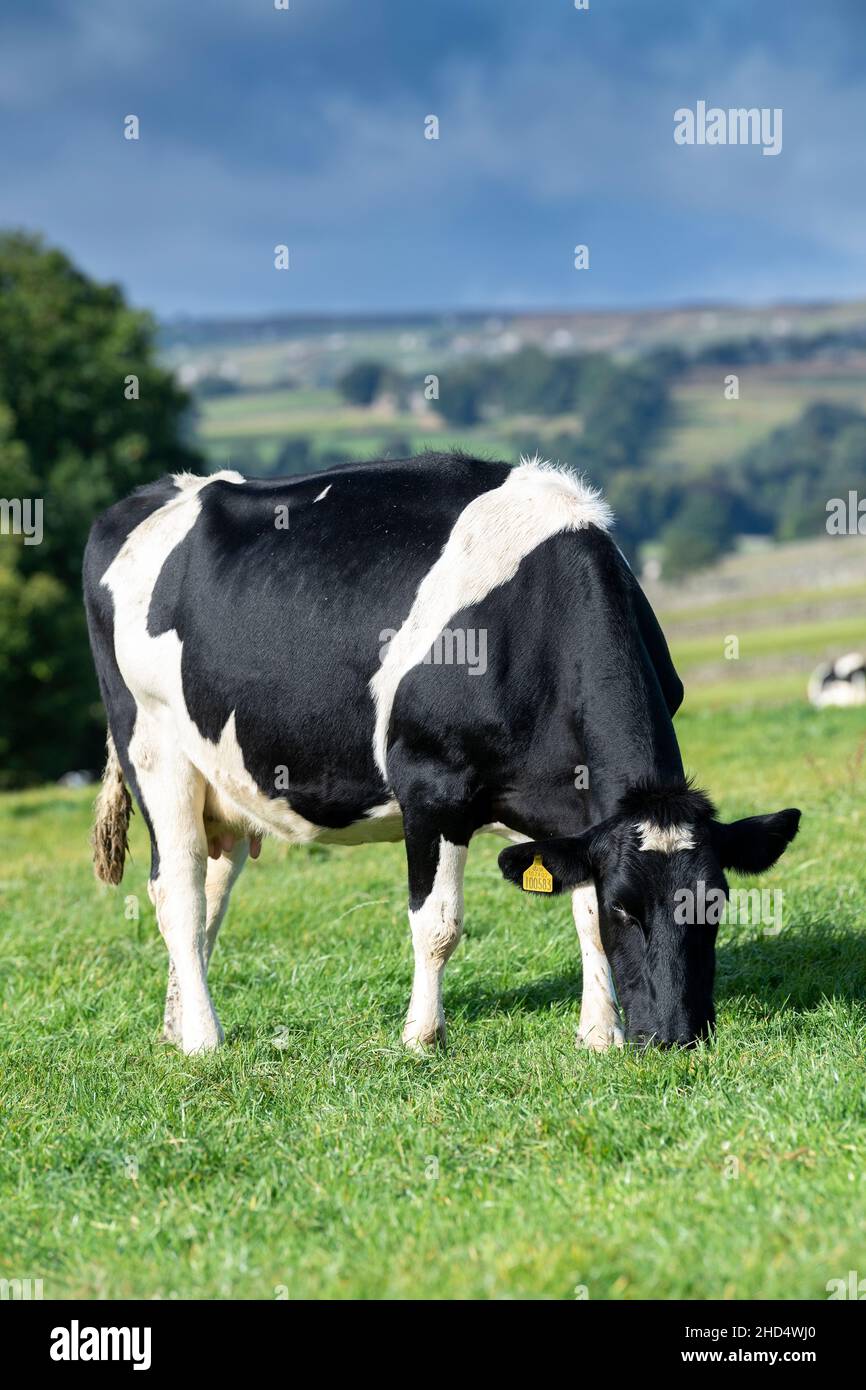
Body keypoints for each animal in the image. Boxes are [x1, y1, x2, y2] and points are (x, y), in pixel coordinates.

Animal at [83, 452, 801, 1054]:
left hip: (221, 780)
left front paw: (599, 1034)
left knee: (211, 888)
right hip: (154, 747)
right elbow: (439, 923)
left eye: (716, 905)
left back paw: (177, 1024)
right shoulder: (432, 784)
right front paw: (422, 1038)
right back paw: (205, 1040)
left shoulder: (578, 810)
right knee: (177, 893)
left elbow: (580, 908)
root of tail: (154, 493)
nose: (679, 1037)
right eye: (629, 906)